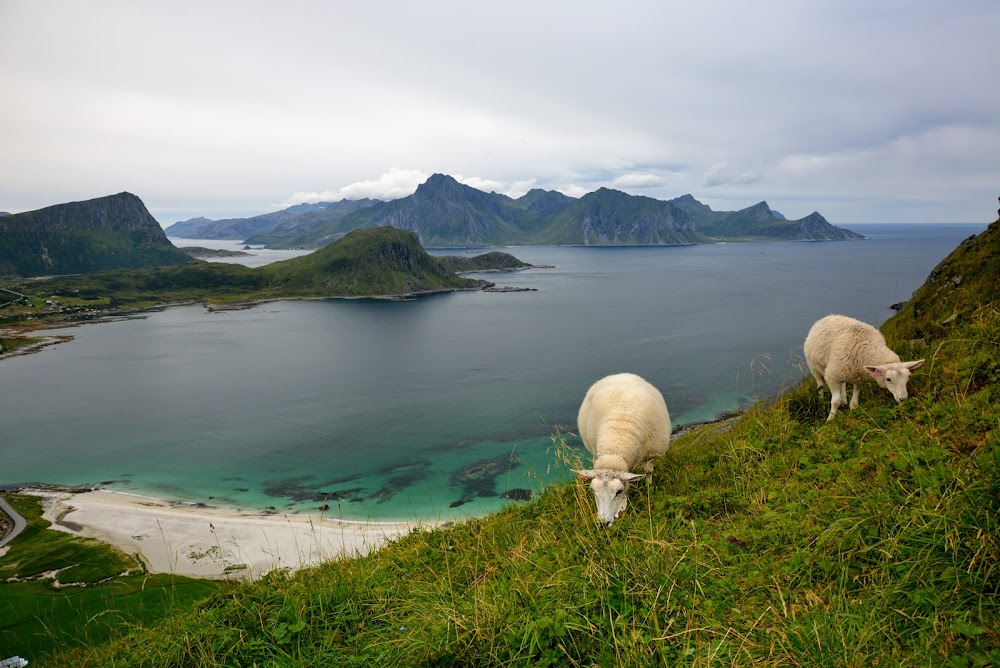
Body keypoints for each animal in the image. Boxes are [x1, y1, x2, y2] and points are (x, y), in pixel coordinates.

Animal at [572, 374, 672, 524]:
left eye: (618, 491)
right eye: (593, 491)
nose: (603, 523)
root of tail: (622, 375)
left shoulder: (650, 454)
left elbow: (648, 472)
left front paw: (648, 489)